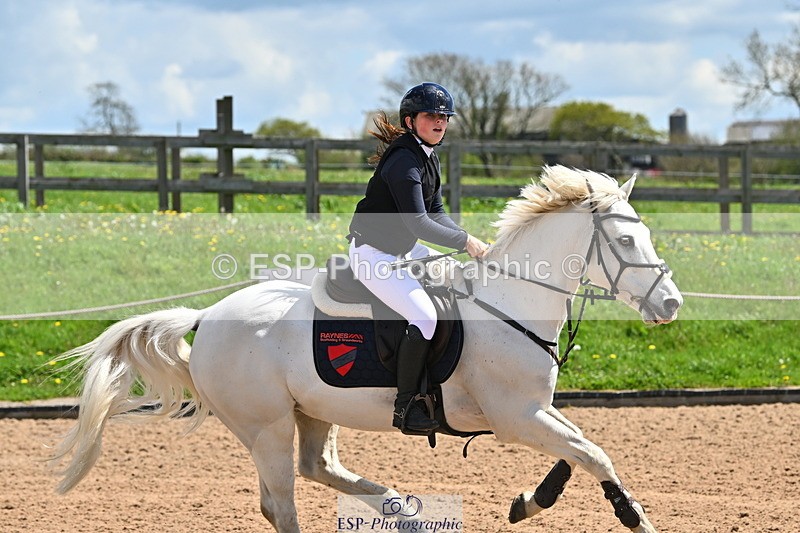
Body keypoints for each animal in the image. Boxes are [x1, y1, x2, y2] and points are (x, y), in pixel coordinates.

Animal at [49, 165, 682, 532]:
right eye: (627, 242)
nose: (672, 303)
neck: (508, 300)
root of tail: (207, 316)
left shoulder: (535, 412)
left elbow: (580, 450)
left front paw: (530, 501)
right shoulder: (515, 417)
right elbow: (594, 454)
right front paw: (632, 515)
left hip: (313, 411)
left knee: (318, 467)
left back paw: (397, 506)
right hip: (266, 426)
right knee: (282, 503)